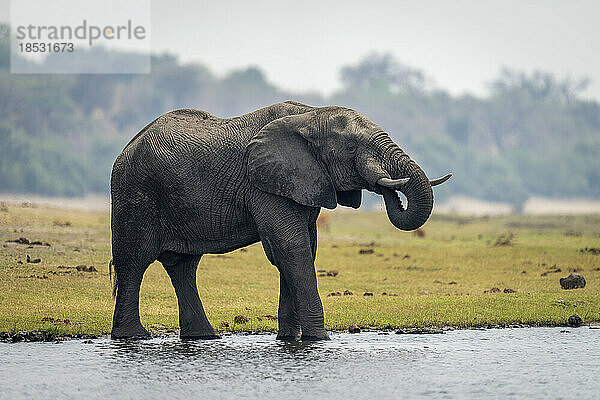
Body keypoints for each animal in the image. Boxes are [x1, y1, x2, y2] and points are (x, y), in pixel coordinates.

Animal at [111, 101, 450, 340]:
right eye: (352, 147)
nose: (386, 184)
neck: (310, 115)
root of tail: (126, 148)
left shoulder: (302, 181)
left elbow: (301, 250)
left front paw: (289, 338)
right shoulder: (263, 183)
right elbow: (291, 247)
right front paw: (319, 339)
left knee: (184, 266)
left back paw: (203, 337)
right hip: (134, 194)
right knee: (134, 262)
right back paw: (133, 337)